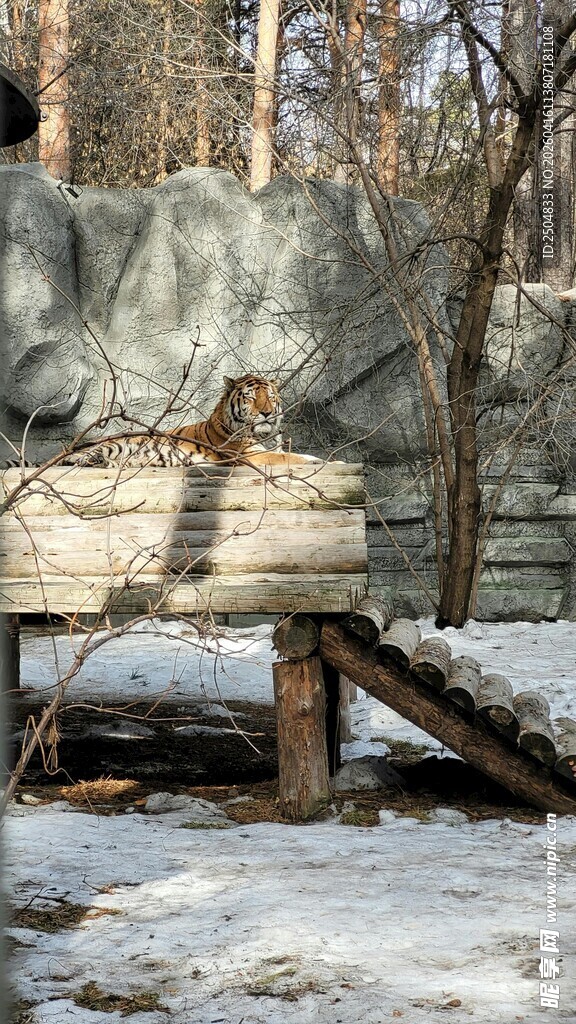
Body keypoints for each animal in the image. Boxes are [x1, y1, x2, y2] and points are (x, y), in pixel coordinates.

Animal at [61, 374, 318, 468]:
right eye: (251, 397)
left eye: (271, 397)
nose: (266, 413)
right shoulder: (249, 454)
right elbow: (288, 457)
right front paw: (319, 461)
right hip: (113, 444)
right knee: (75, 458)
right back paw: (88, 461)